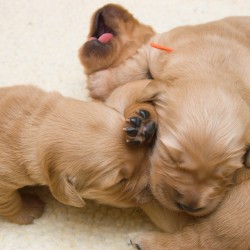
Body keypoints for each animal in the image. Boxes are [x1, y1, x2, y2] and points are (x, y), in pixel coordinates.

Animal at [0, 84, 157, 225]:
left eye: (145, 153)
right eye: (120, 181)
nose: (153, 186)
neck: (35, 123)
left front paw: (141, 123)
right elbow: (10, 202)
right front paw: (27, 211)